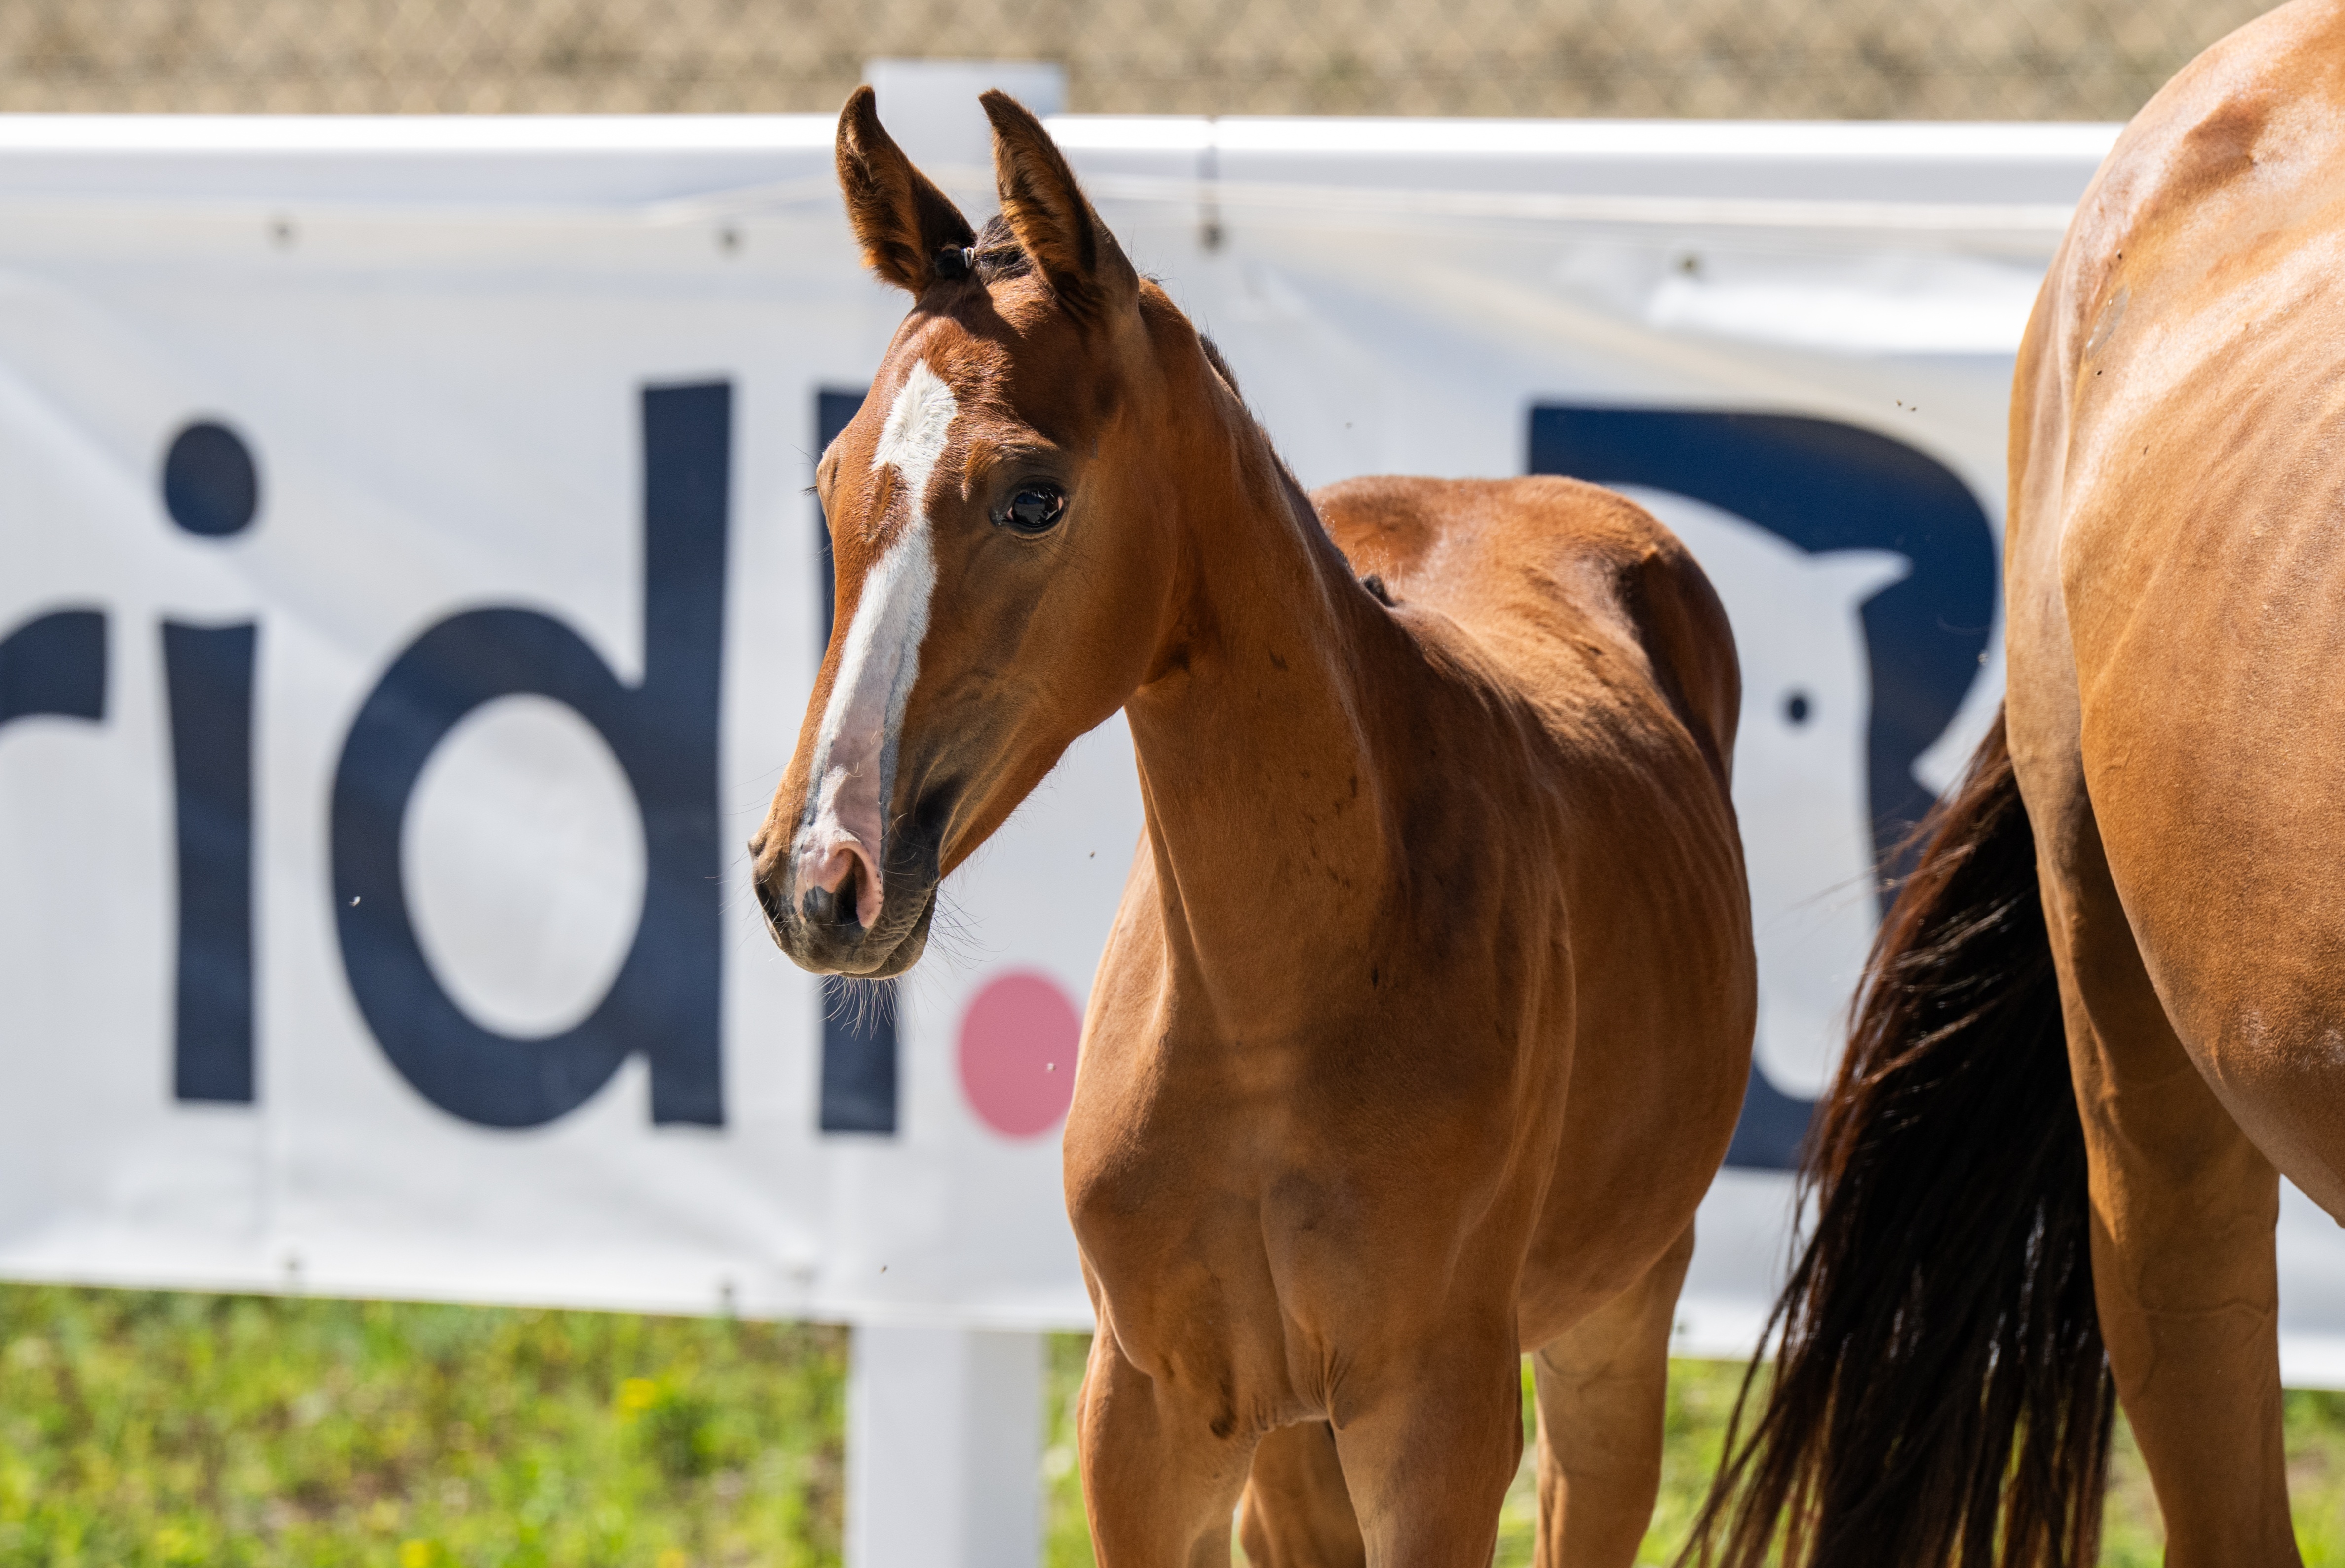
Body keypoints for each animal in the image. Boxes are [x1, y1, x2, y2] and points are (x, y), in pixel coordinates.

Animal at [749, 89, 1756, 1566]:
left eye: (1033, 495)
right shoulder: (1149, 1411)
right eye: (827, 481)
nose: (821, 879)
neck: (1275, 999)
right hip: (1294, 1442)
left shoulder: (1440, 1426)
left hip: (1610, 1326)